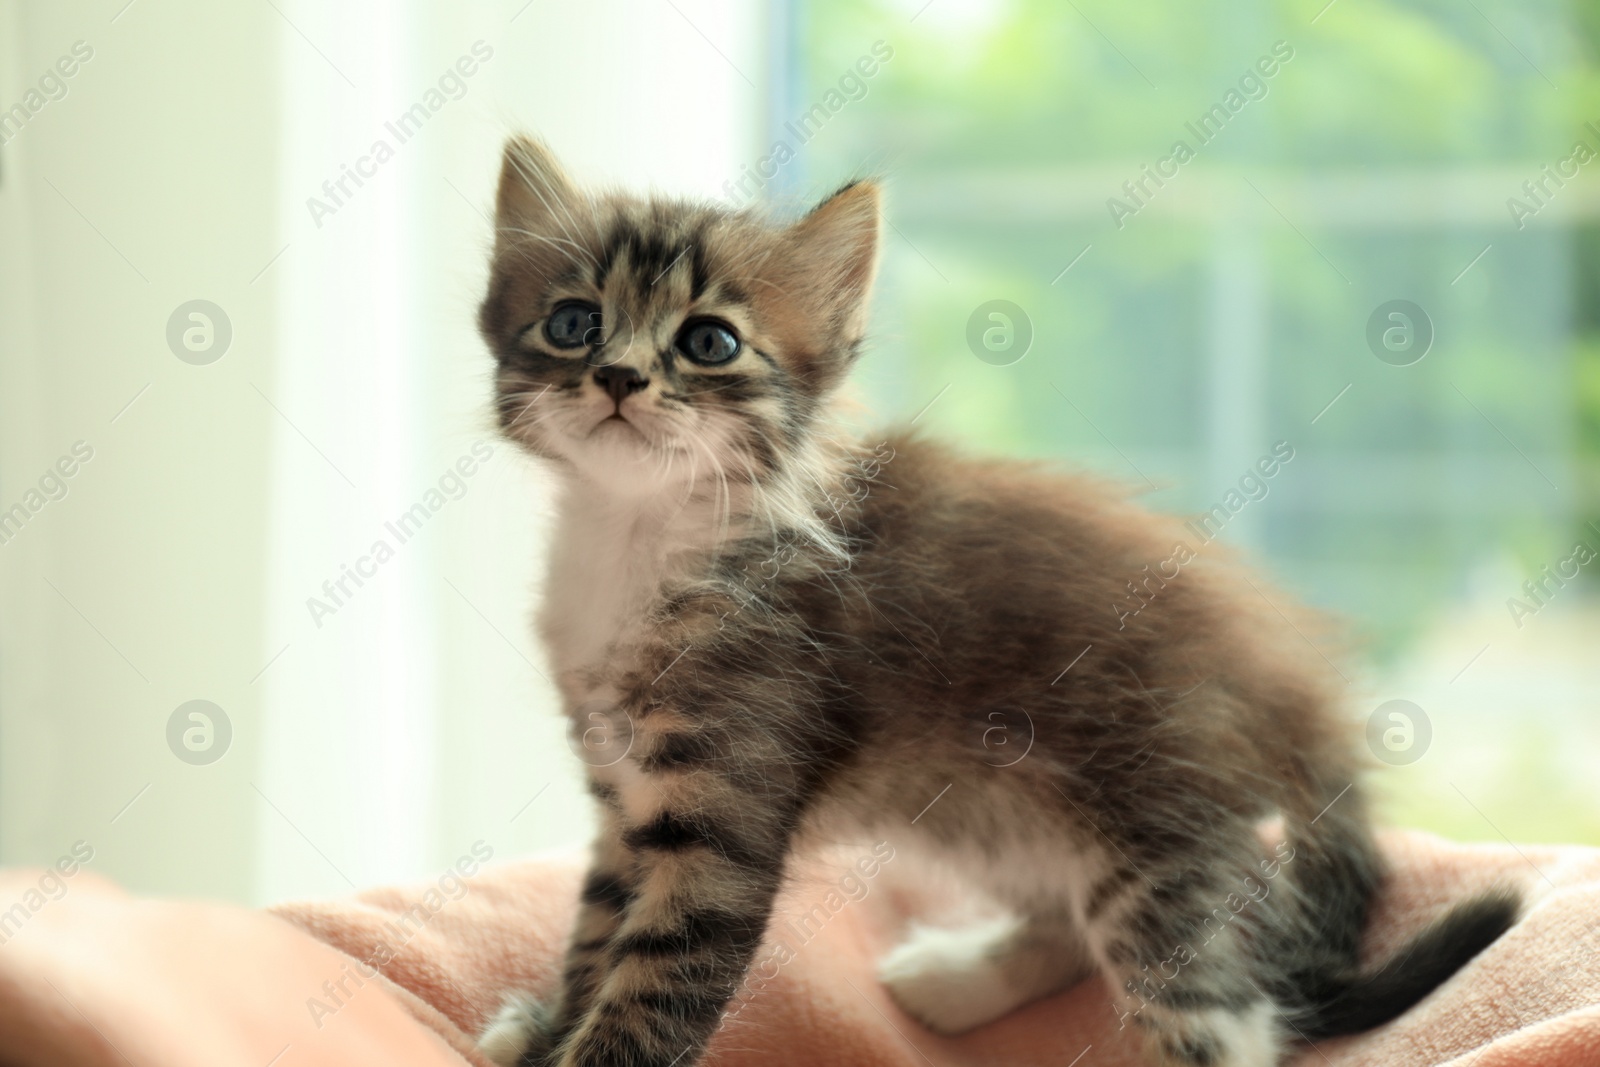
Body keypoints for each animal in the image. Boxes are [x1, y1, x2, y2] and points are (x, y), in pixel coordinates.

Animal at [470, 135, 1510, 1067]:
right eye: (572, 323)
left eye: (708, 341)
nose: (617, 375)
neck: (637, 535)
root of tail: (1289, 670)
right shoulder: (624, 798)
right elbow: (597, 932)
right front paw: (545, 1028)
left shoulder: (725, 811)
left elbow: (655, 980)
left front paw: (585, 1046)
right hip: (985, 803)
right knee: (1074, 923)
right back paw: (958, 980)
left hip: (1156, 830)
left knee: (1227, 1021)